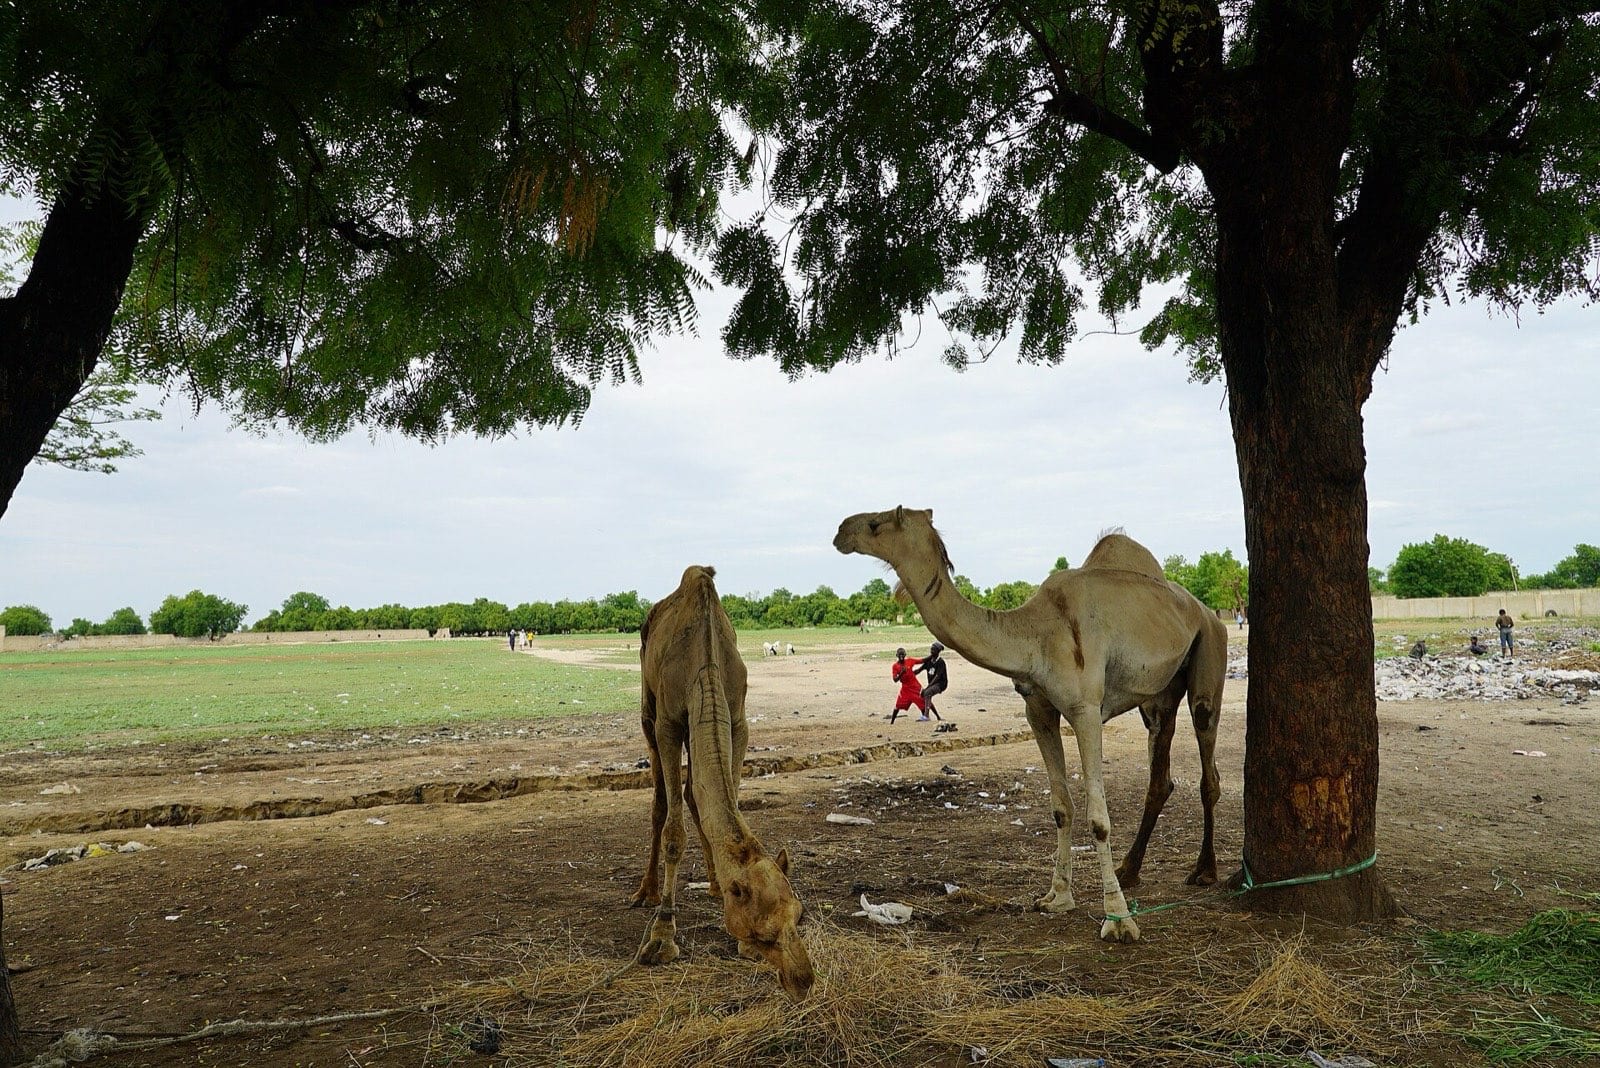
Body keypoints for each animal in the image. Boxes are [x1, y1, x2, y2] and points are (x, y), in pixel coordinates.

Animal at [629, 565, 814, 998]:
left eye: (798, 915)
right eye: (765, 935)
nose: (803, 981)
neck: (705, 662)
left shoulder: (737, 719)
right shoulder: (668, 723)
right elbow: (673, 831)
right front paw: (662, 937)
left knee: (691, 793)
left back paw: (712, 882)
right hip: (647, 710)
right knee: (660, 802)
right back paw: (646, 892)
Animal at [835, 507, 1227, 943]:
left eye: (876, 524)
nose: (840, 531)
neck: (1035, 635)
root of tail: (1204, 610)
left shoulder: (1086, 710)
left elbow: (1099, 818)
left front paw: (1118, 919)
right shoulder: (1037, 711)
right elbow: (1060, 807)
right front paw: (1057, 897)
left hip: (1211, 648)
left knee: (1207, 757)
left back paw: (1204, 871)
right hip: (1158, 696)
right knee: (1160, 768)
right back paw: (1130, 869)